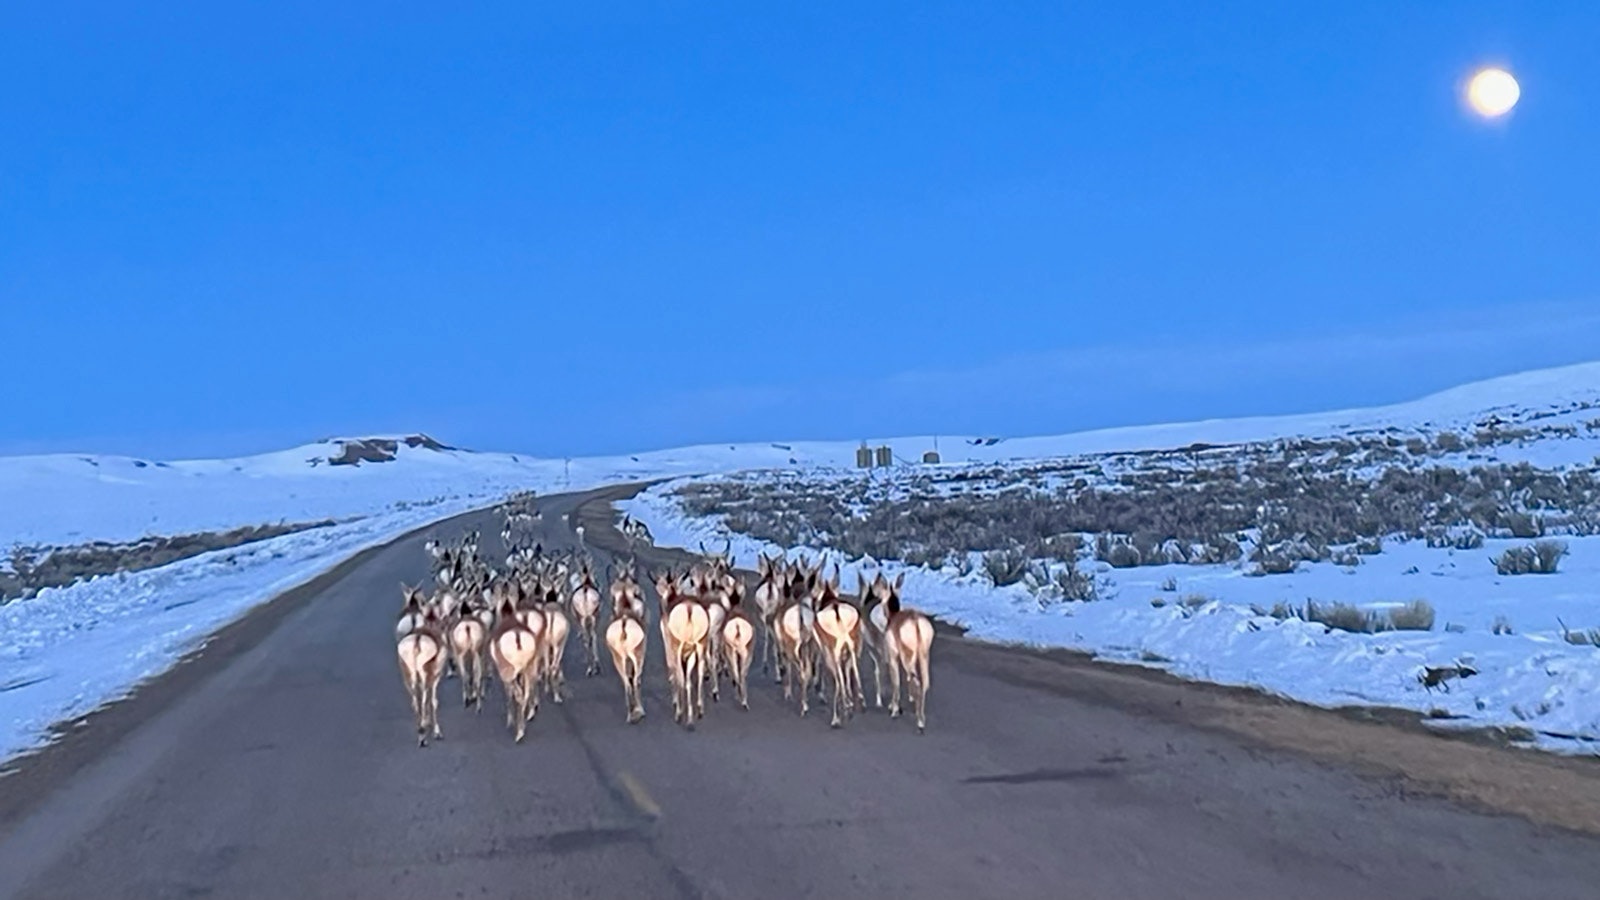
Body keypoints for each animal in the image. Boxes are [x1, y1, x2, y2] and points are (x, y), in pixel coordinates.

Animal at [396, 601, 446, 746]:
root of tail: (417, 640)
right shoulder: (436, 677)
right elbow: (433, 701)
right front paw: (437, 732)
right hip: (425, 677)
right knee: (423, 701)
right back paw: (423, 737)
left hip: (410, 677)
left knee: (416, 701)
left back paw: (421, 732)